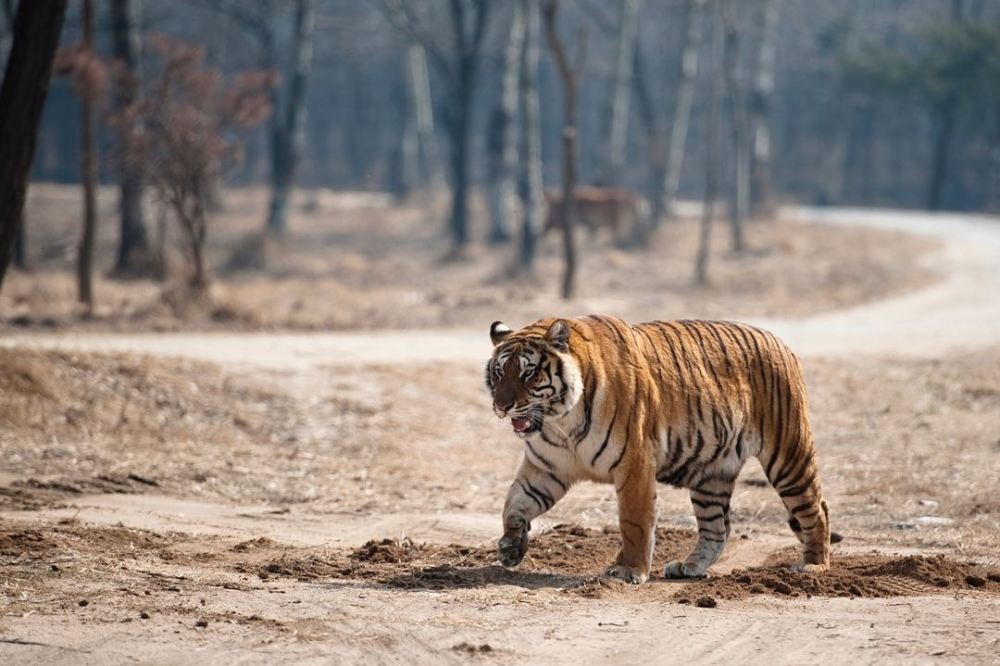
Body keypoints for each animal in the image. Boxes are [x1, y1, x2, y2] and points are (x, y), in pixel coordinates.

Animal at [488, 316, 832, 580]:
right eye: (499, 372)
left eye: (529, 373)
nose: (501, 406)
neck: (561, 421)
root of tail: (779, 341)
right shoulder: (545, 468)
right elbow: (514, 504)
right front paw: (510, 547)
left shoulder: (634, 465)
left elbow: (634, 521)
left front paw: (629, 571)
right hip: (712, 476)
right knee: (717, 528)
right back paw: (689, 567)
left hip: (787, 456)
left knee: (817, 508)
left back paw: (814, 566)